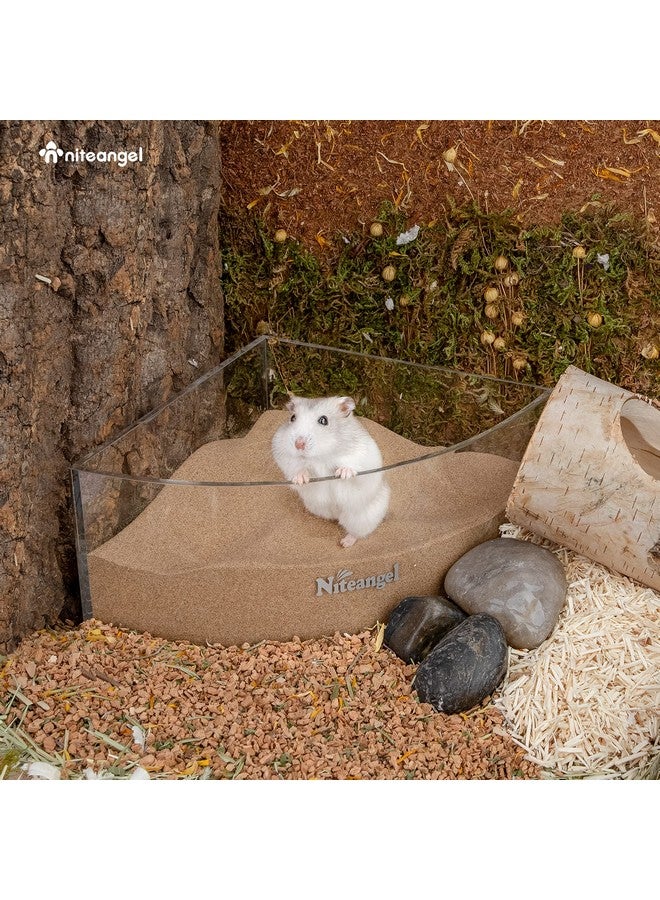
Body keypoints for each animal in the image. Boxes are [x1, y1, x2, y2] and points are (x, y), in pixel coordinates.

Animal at [271, 395, 390, 548]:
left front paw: (343, 473)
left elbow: (353, 464)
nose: (298, 444)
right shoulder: (283, 454)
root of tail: (335, 514)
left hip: (361, 518)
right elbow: (297, 467)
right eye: (292, 418)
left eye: (324, 420)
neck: (320, 457)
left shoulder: (362, 454)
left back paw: (345, 543)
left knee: (357, 532)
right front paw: (301, 479)